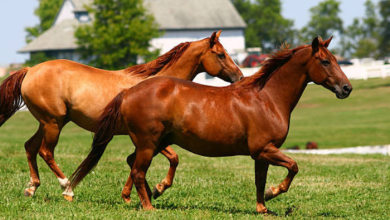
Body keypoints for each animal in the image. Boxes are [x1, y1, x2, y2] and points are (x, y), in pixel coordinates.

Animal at [0, 30, 244, 201]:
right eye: (221, 54)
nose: (240, 77)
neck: (161, 87)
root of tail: (30, 70)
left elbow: (138, 161)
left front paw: (134, 195)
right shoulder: (150, 137)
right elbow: (168, 158)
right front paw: (157, 189)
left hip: (47, 122)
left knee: (30, 147)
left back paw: (32, 188)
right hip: (53, 123)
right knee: (45, 152)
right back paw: (66, 188)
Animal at [68, 36, 352, 213]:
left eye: (336, 59)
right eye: (325, 61)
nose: (346, 88)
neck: (266, 98)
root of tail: (128, 92)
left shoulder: (261, 154)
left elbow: (260, 181)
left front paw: (263, 207)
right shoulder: (264, 149)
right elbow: (293, 166)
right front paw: (275, 192)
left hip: (157, 142)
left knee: (134, 164)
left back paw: (151, 194)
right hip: (149, 143)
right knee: (138, 171)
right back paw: (149, 205)